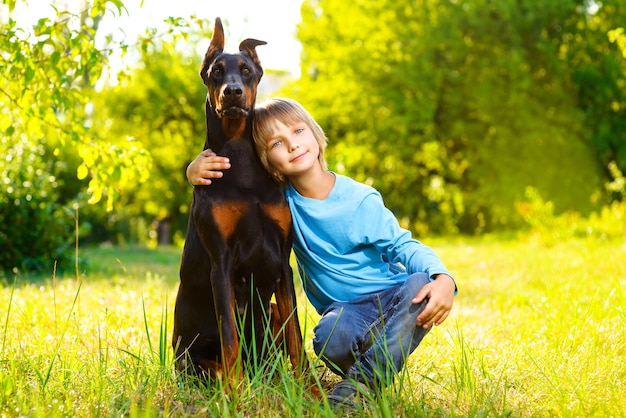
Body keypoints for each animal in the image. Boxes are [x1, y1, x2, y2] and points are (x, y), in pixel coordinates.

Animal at [172, 18, 304, 384]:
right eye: (216, 71)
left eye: (246, 70)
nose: (232, 92)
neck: (241, 159)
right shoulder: (221, 263)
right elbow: (230, 340)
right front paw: (237, 393)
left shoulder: (282, 261)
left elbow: (297, 338)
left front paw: (310, 390)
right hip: (190, 359)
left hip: (269, 313)